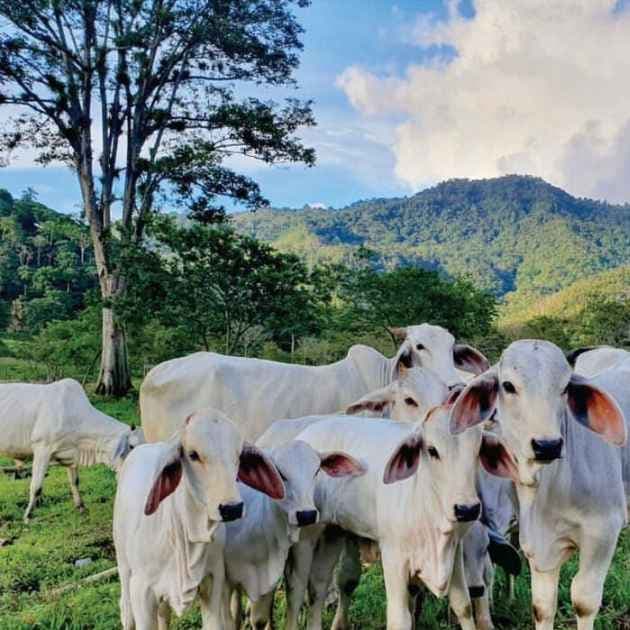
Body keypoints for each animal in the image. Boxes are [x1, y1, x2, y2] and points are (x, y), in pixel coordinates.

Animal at [0, 380, 143, 524]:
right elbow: (37, 487)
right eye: (131, 446)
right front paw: (28, 516)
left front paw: (81, 507)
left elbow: (75, 481)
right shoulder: (42, 450)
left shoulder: (72, 455)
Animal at [114, 410, 286, 630]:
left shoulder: (214, 584)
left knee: (163, 613)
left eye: (238, 455)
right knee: (127, 613)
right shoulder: (141, 592)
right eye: (193, 455)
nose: (232, 508)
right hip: (124, 567)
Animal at [452, 344, 628, 628]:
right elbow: (542, 607)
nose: (548, 445)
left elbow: (584, 601)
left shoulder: (603, 532)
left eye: (565, 387)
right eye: (508, 386)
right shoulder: (537, 545)